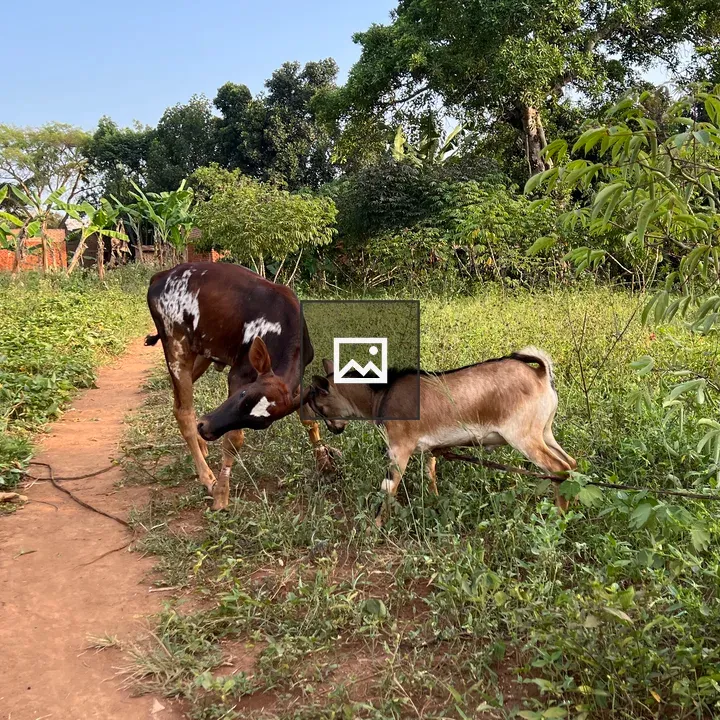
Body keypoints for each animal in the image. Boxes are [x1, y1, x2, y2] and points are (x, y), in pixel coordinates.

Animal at [146, 262, 332, 510]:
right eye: (243, 394)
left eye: (262, 424)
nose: (207, 428)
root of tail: (161, 276)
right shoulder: (238, 375)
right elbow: (234, 439)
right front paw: (221, 493)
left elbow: (309, 418)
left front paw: (323, 461)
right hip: (176, 348)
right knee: (185, 411)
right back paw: (207, 477)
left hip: (202, 353)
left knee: (177, 405)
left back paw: (201, 446)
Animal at [307, 347, 576, 525]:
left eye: (319, 406)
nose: (333, 429)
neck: (381, 393)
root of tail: (540, 375)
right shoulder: (429, 446)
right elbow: (431, 473)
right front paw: (435, 501)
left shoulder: (399, 447)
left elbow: (388, 487)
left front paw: (375, 526)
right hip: (545, 431)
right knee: (570, 463)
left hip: (524, 436)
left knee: (558, 468)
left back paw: (560, 519)